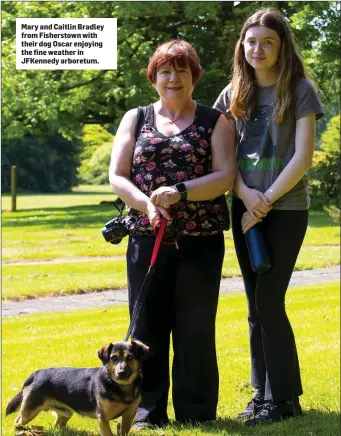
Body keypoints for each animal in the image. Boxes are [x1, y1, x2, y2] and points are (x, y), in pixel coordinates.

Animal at [5, 340, 149, 436]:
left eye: (130, 358)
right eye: (113, 358)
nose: (121, 372)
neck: (120, 387)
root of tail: (36, 374)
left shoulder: (129, 414)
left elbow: (124, 430)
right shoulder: (103, 418)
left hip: (65, 412)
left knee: (57, 426)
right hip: (30, 410)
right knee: (17, 421)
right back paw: (21, 431)